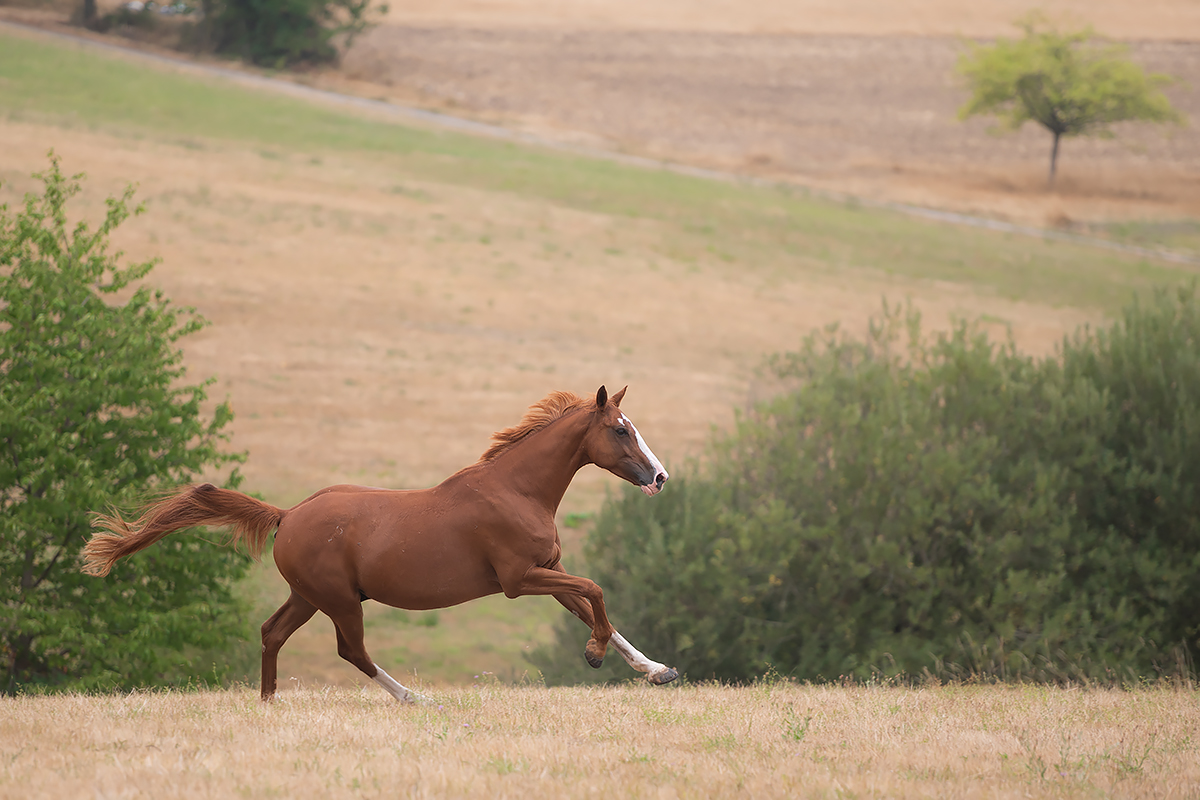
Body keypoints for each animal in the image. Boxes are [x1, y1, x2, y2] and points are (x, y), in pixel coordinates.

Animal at [83, 386, 681, 700]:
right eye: (621, 429)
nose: (660, 478)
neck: (517, 490)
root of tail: (287, 515)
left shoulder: (547, 572)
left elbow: (596, 610)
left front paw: (656, 669)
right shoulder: (519, 580)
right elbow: (596, 592)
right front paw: (595, 656)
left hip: (308, 596)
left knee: (272, 633)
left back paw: (269, 703)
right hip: (340, 601)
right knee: (351, 650)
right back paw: (415, 698)